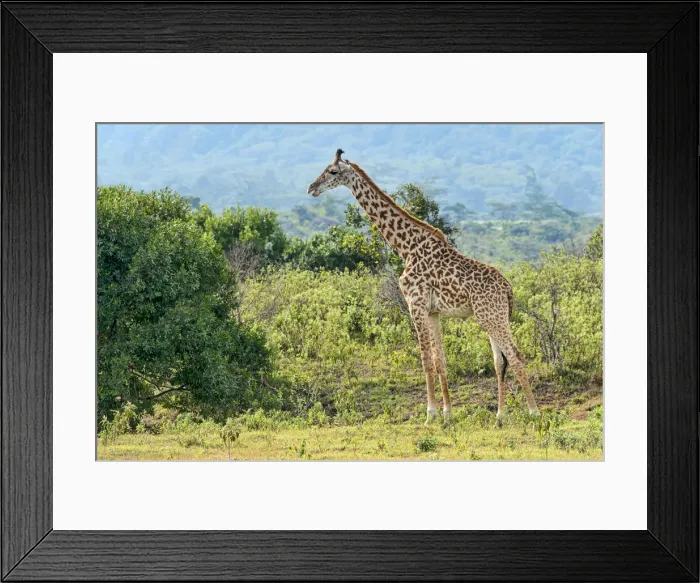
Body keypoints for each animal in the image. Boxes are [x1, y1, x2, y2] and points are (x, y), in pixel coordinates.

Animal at [307, 149, 539, 424]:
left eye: (332, 172)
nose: (312, 187)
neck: (406, 247)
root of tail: (508, 290)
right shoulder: (433, 312)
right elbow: (441, 361)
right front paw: (448, 415)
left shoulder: (415, 304)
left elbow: (426, 359)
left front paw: (430, 415)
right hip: (493, 317)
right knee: (499, 361)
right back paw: (499, 418)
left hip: (491, 317)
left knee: (515, 356)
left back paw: (535, 412)